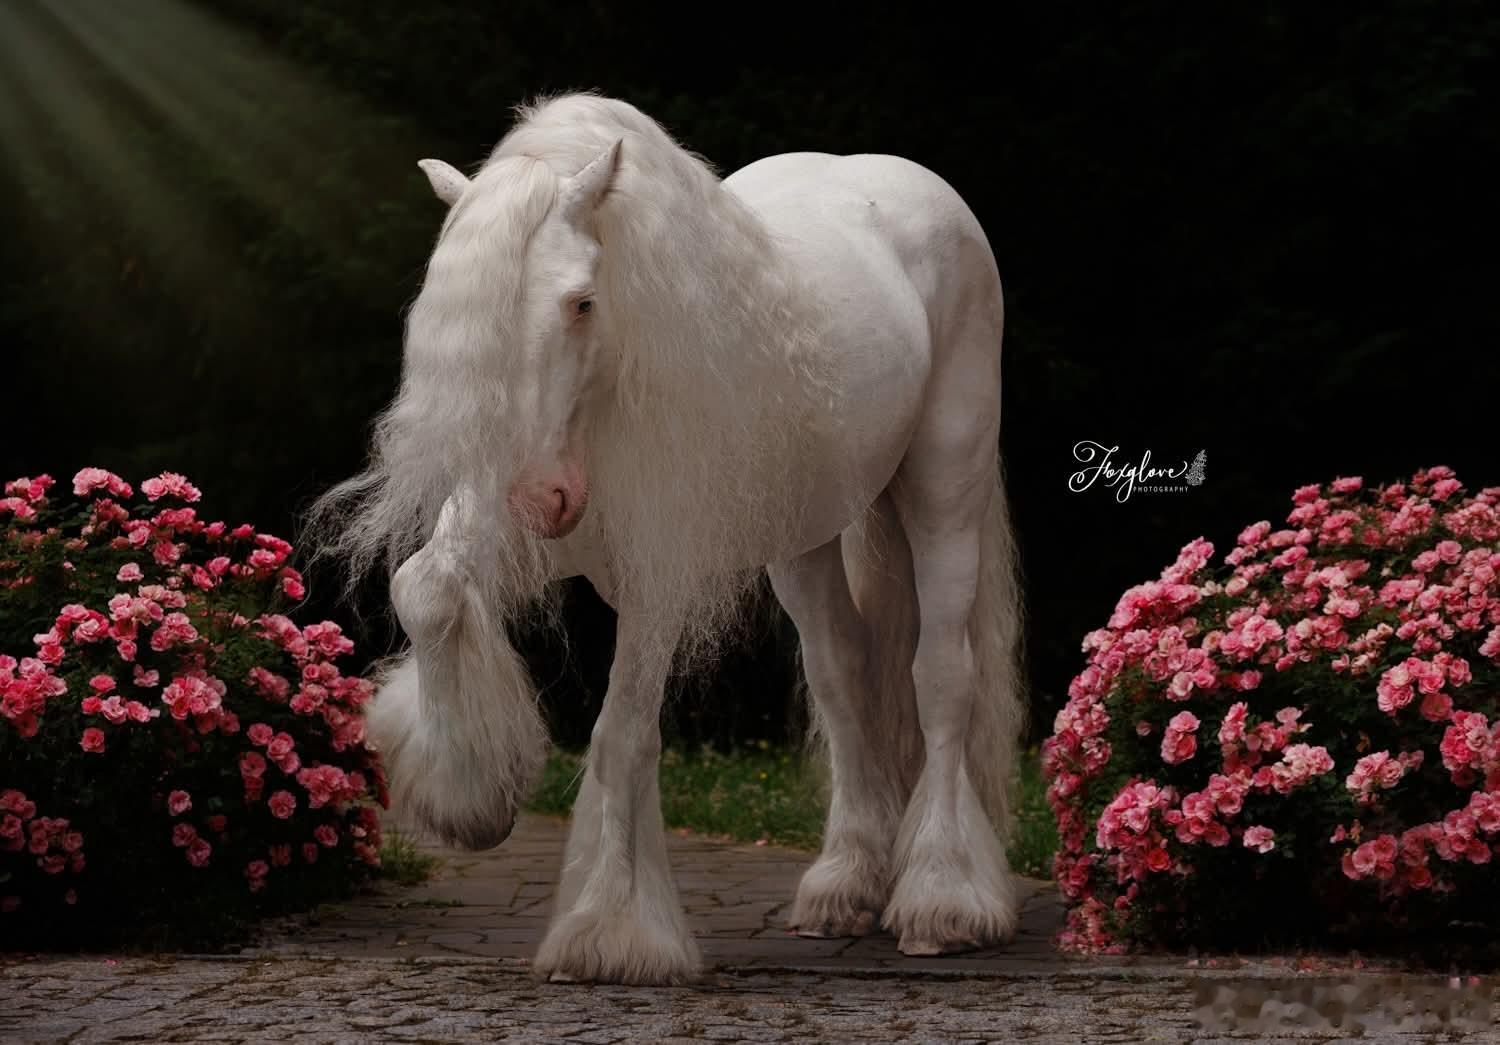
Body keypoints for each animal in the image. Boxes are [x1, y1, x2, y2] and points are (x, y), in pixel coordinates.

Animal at [312, 92, 1025, 986]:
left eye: (582, 301)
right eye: (469, 320)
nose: (539, 498)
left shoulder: (656, 582)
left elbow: (620, 735)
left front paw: (610, 930)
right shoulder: (493, 513)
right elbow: (427, 589)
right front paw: (468, 798)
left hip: (944, 491)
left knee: (941, 676)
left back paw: (942, 898)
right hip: (803, 539)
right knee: (842, 675)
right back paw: (844, 886)